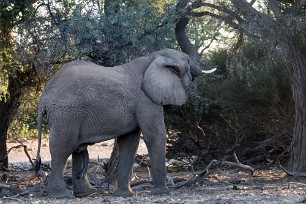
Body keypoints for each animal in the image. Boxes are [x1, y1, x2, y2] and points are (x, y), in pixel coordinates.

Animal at [34, 47, 215, 198]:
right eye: (188, 61)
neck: (154, 57)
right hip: (66, 112)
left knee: (76, 149)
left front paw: (125, 195)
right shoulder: (146, 99)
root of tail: (45, 94)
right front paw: (162, 192)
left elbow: (129, 142)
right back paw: (61, 195)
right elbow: (155, 135)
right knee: (63, 147)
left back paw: (85, 193)